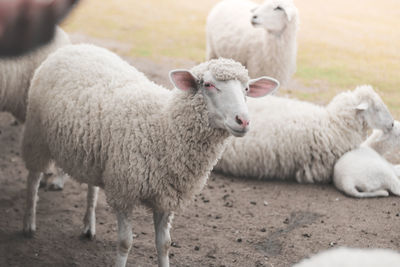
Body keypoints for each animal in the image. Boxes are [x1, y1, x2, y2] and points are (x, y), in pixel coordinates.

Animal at [20, 44, 280, 267]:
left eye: (247, 89)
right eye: (207, 84)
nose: (243, 121)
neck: (162, 127)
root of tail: (76, 46)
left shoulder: (165, 198)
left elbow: (164, 244)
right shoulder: (124, 193)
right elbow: (125, 243)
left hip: (94, 156)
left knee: (91, 188)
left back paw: (88, 226)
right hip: (36, 134)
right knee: (33, 178)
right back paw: (29, 224)